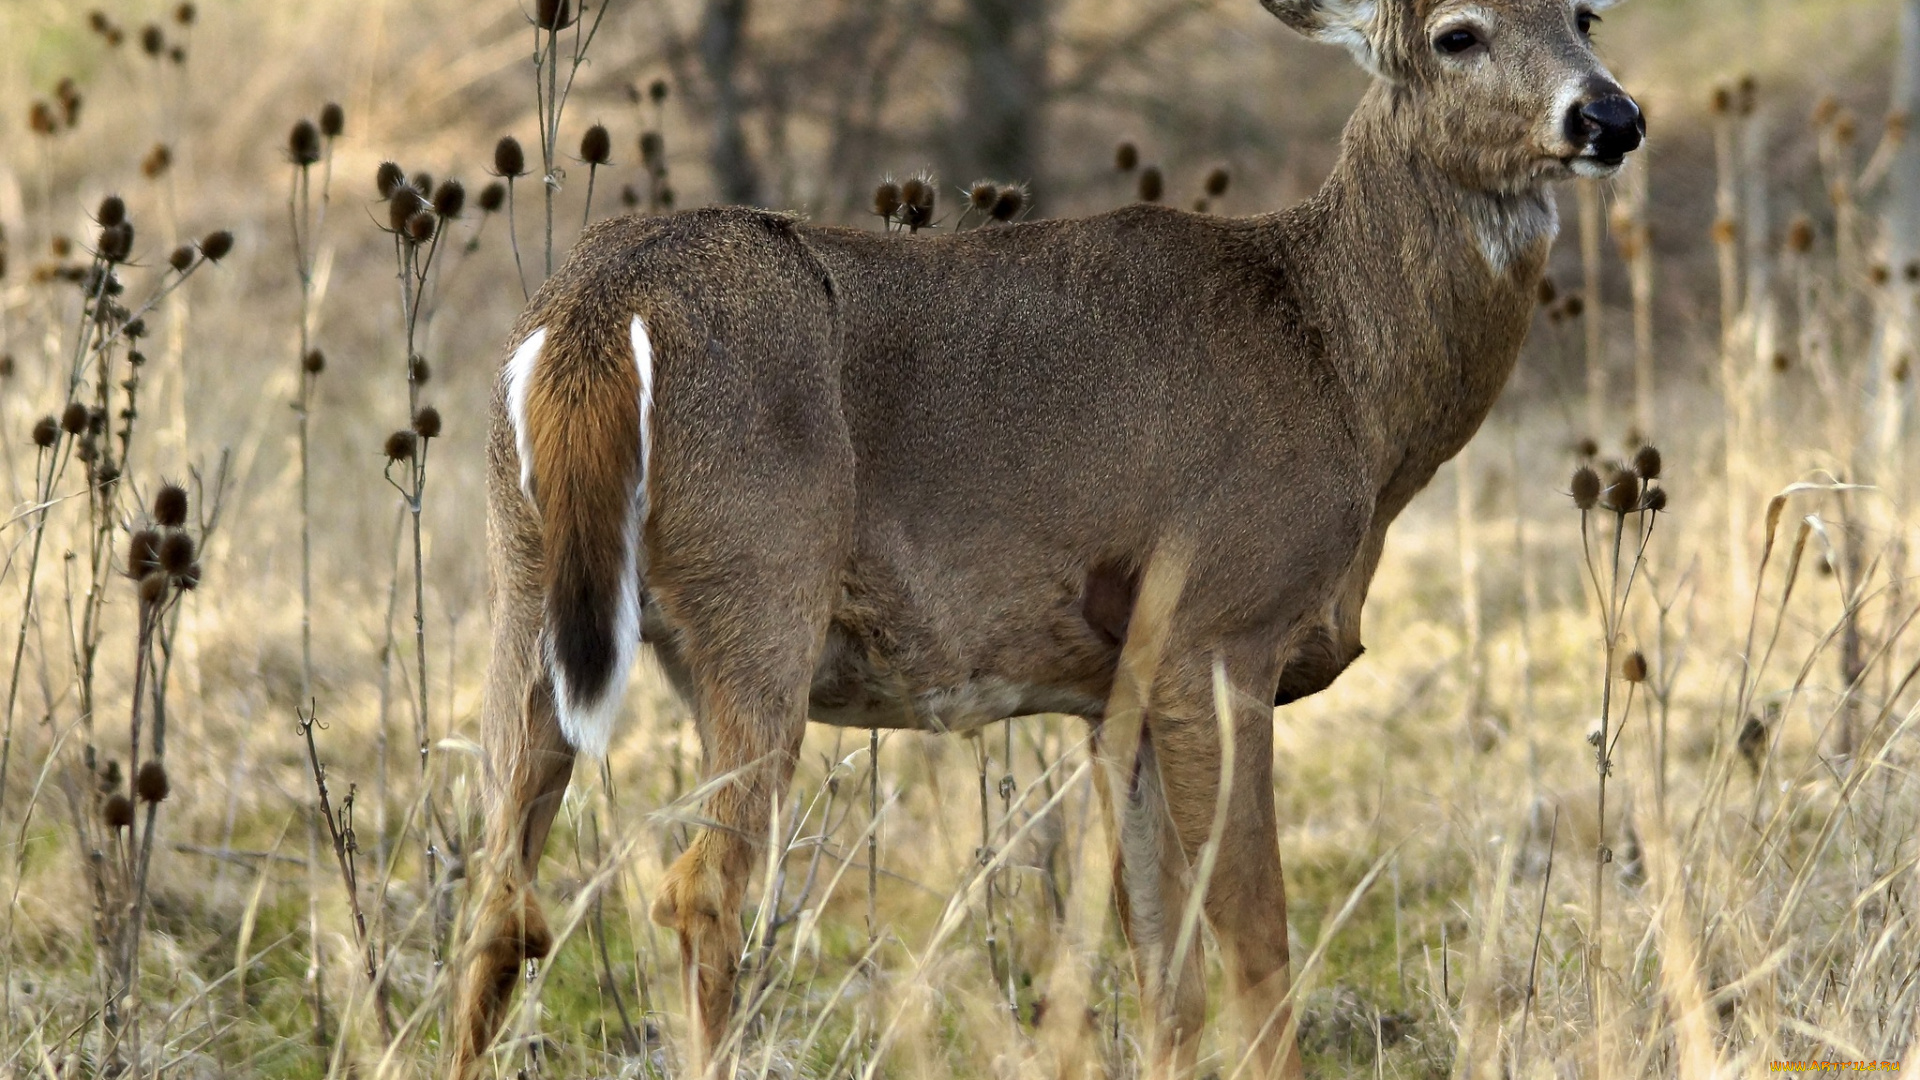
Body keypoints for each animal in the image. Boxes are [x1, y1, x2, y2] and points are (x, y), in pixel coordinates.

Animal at [445, 0, 1635, 1068]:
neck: (1339, 363)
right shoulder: (1215, 623)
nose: (1610, 115)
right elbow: (1254, 943)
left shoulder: (1118, 685)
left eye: (1587, 13)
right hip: (760, 585)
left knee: (498, 893)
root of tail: (595, 317)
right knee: (699, 890)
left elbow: (1161, 967)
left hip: (525, 585)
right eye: (1456, 33)